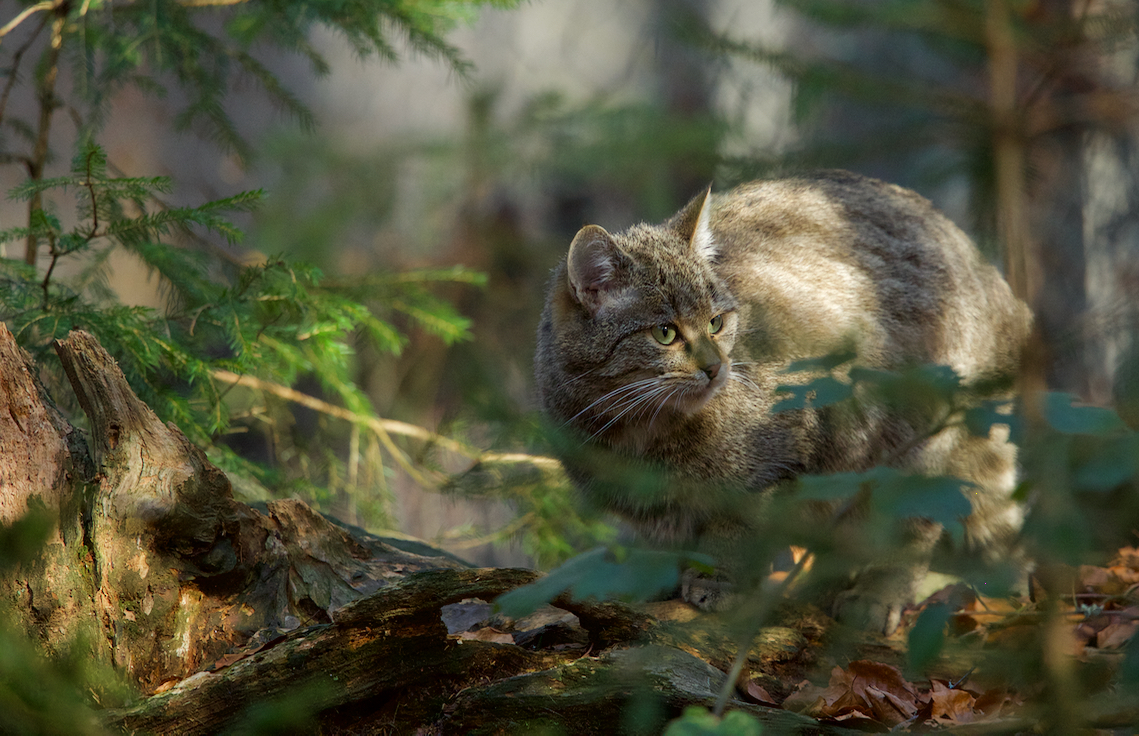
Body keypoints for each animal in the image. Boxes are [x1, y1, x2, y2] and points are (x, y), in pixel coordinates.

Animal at [533, 173, 1034, 633]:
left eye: (716, 323)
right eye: (665, 333)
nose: (716, 367)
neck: (639, 430)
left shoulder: (788, 451)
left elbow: (736, 527)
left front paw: (718, 579)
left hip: (912, 438)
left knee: (913, 525)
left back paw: (877, 595)